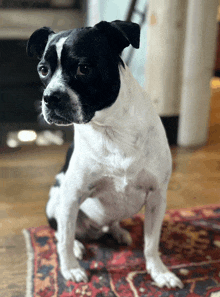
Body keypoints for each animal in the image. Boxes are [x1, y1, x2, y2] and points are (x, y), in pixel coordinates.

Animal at [26, 20, 183, 286]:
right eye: (43, 70)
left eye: (84, 68)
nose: (50, 97)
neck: (110, 128)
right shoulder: (71, 196)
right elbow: (64, 239)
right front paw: (70, 268)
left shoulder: (156, 196)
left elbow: (151, 244)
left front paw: (160, 272)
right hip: (56, 201)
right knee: (62, 231)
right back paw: (78, 247)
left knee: (110, 224)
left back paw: (118, 232)